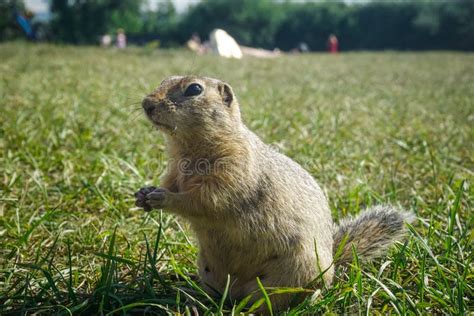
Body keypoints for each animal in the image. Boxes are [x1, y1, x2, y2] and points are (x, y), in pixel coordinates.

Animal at [133, 76, 414, 312]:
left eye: (194, 89)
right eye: (165, 79)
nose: (146, 103)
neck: (188, 148)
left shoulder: (231, 173)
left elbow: (203, 201)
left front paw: (163, 198)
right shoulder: (174, 174)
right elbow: (173, 186)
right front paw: (143, 193)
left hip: (287, 276)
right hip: (210, 270)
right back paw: (193, 297)